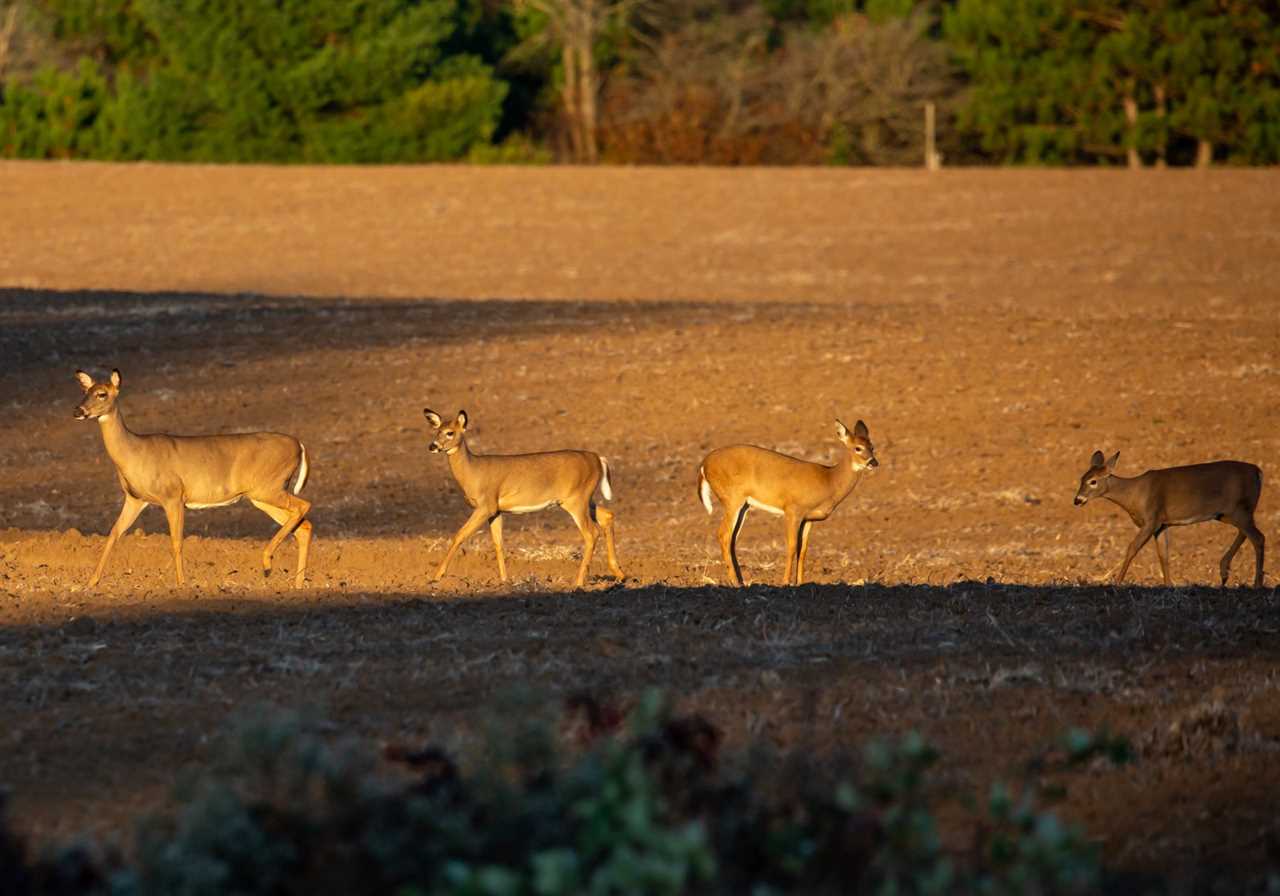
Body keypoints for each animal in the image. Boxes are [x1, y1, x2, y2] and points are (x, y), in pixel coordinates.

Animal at [72, 368, 312, 588]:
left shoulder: (173, 496)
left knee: (304, 506)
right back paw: (297, 583)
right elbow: (114, 533)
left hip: (269, 487)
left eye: (102, 394)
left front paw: (181, 583)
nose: (77, 410)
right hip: (262, 495)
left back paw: (267, 563)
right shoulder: (135, 499)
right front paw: (90, 583)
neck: (135, 452)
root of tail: (299, 445)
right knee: (303, 526)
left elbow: (176, 541)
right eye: (85, 391)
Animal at [422, 407, 622, 588]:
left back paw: (579, 582)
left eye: (450, 432)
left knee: (591, 533)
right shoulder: (496, 510)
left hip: (576, 499)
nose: (432, 446)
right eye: (436, 431)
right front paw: (504, 580)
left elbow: (459, 535)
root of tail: (598, 459)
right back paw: (619, 574)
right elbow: (498, 543)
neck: (473, 472)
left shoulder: (486, 505)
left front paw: (436, 577)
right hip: (585, 499)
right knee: (607, 515)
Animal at [701, 419, 880, 588]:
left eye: (872, 446)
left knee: (732, 539)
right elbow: (792, 546)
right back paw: (735, 582)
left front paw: (800, 582)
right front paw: (786, 581)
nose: (874, 463)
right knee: (723, 534)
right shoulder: (793, 509)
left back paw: (741, 581)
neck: (829, 481)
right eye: (857, 448)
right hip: (732, 498)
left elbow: (803, 549)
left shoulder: (809, 518)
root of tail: (704, 464)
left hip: (743, 505)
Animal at [1075, 448, 1264, 588]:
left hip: (1238, 510)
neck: (1135, 494)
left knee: (1258, 537)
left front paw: (1117, 582)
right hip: (1229, 514)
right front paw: (1168, 584)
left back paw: (1257, 584)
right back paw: (1224, 571)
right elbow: (1163, 554)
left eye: (1093, 481)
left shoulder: (1151, 519)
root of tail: (1258, 472)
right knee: (1247, 533)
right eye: (1082, 478)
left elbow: (1132, 548)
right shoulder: (1162, 525)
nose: (1077, 500)